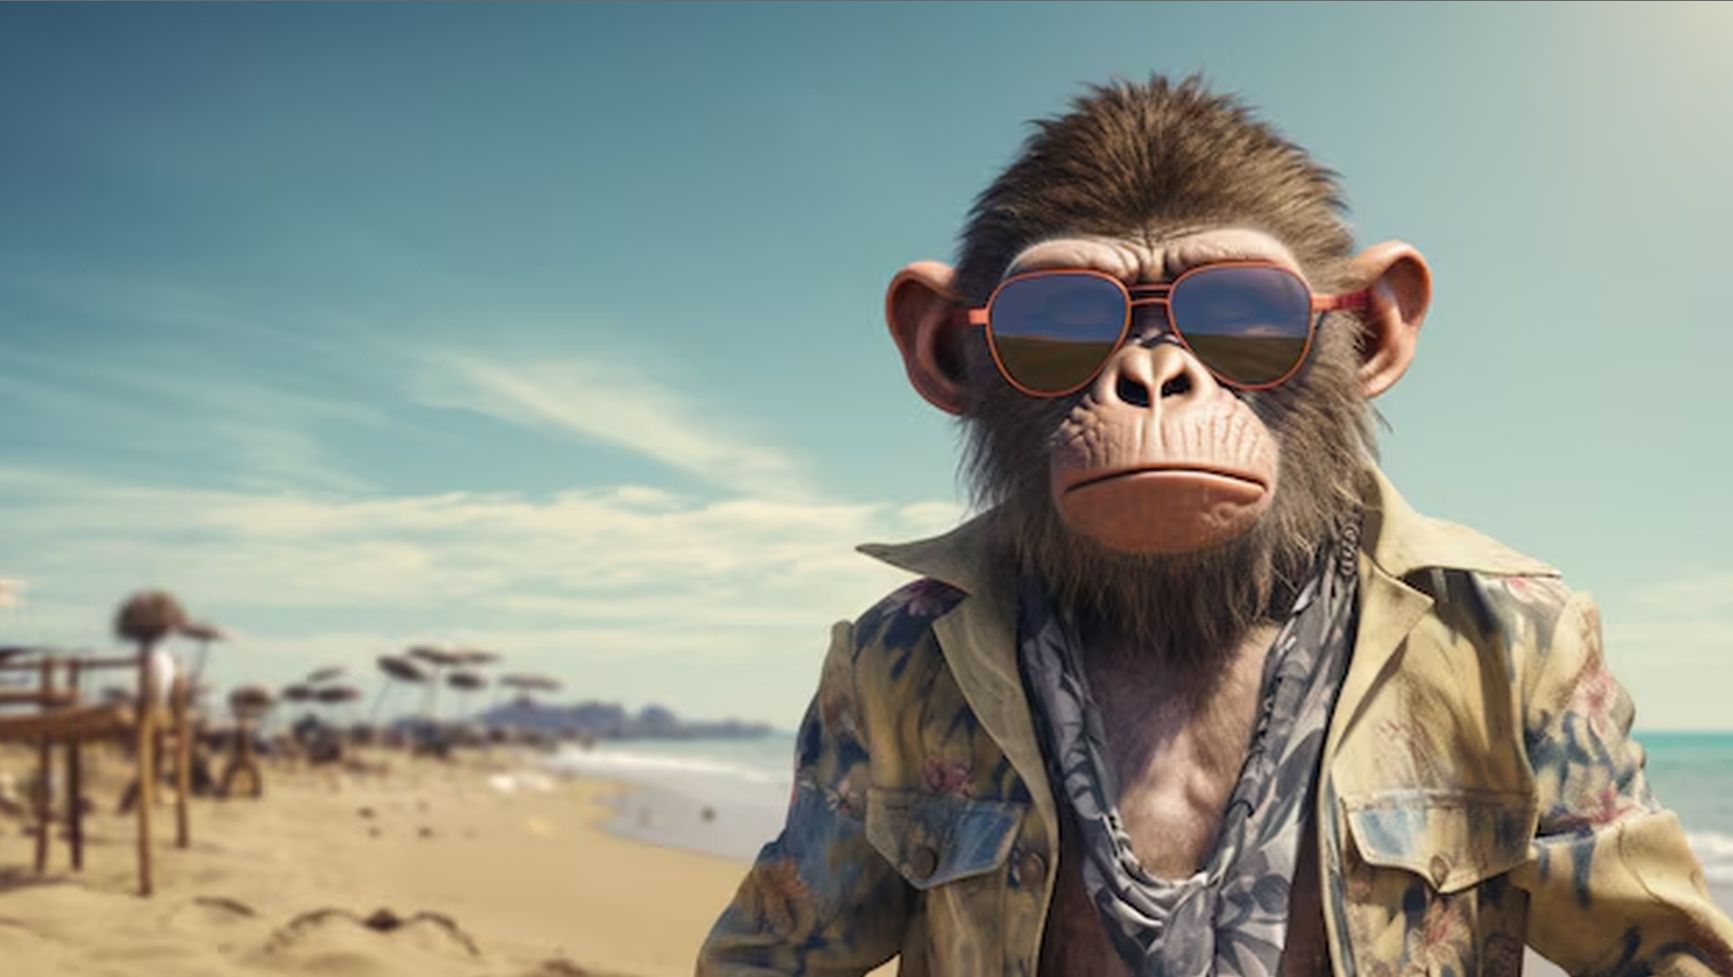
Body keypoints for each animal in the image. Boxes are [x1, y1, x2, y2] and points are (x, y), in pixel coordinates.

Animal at [698, 76, 1733, 977]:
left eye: (1239, 309)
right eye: (1061, 318)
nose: (1153, 378)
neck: (1191, 613)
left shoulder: (1558, 653)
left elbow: (1653, 922)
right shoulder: (861, 659)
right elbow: (788, 933)